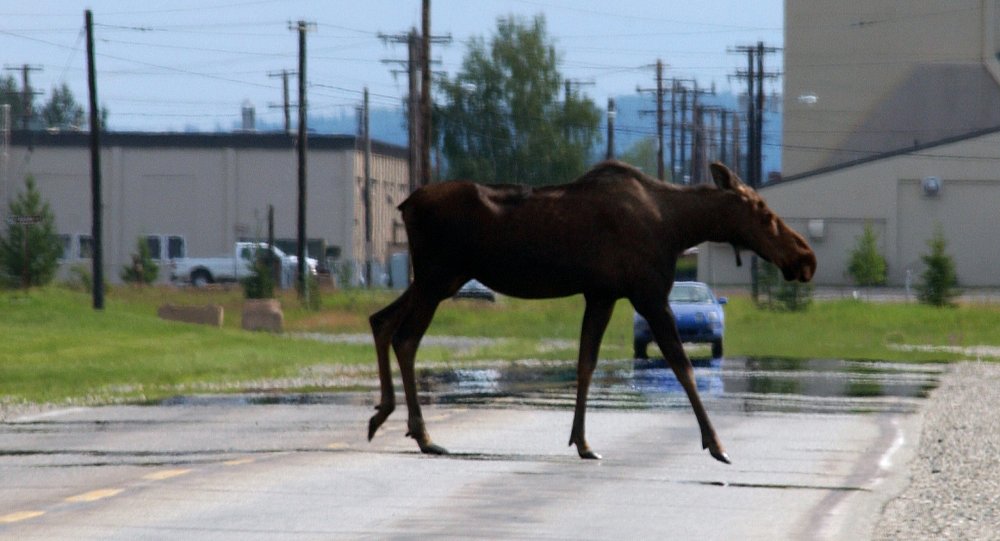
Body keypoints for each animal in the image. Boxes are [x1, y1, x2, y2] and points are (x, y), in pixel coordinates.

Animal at [368, 160, 816, 463]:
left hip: (439, 279)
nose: (806, 258)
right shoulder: (648, 294)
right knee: (405, 337)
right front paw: (717, 444)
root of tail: (404, 205)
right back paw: (422, 434)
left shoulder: (601, 294)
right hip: (438, 277)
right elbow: (683, 365)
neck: (678, 227)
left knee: (381, 320)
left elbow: (586, 362)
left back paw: (385, 414)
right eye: (764, 212)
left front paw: (582, 442)